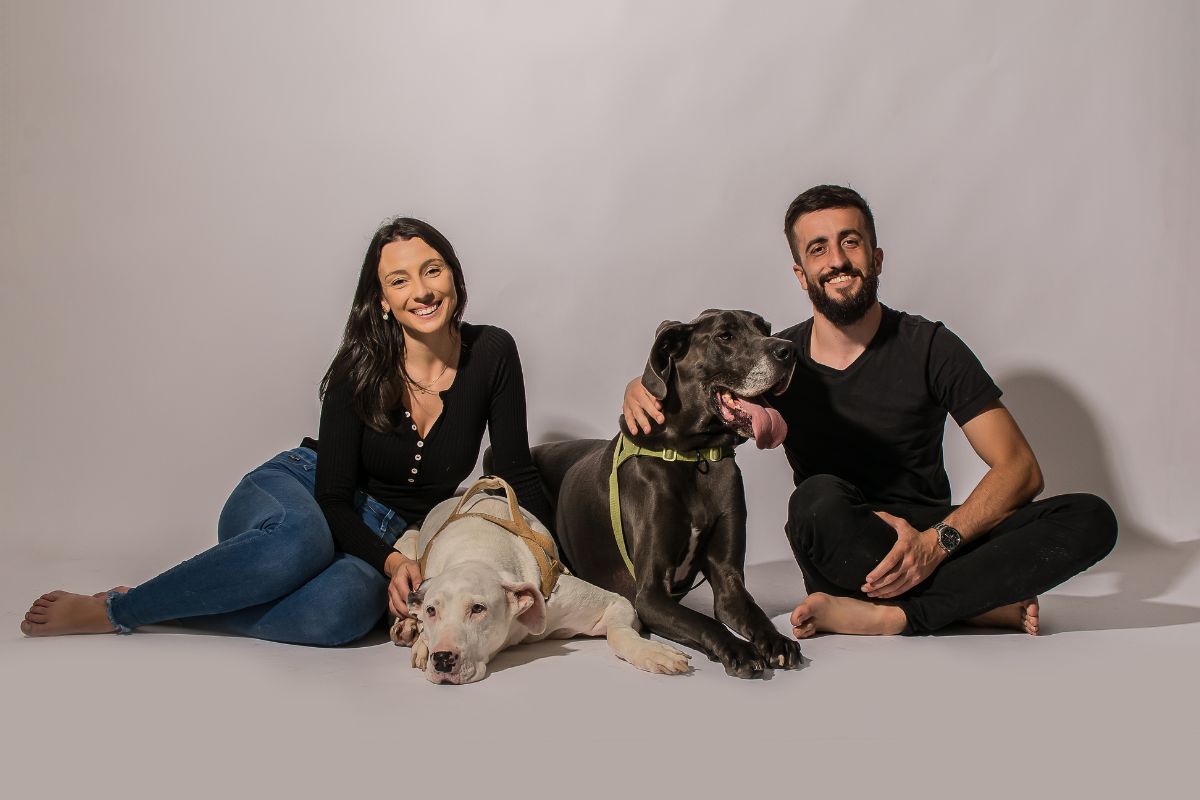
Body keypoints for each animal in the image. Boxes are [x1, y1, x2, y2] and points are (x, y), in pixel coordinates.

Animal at [388, 479, 691, 686]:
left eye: (478, 608)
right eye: (431, 610)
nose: (441, 659)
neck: (476, 552)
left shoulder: (614, 603)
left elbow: (619, 632)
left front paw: (653, 652)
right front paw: (421, 640)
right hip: (406, 544)